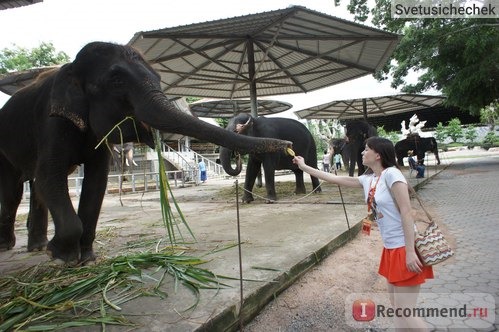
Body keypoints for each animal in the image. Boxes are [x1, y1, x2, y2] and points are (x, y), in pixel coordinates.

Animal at [0, 41, 292, 264]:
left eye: (159, 79)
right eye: (116, 80)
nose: (288, 144)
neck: (70, 66)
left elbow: (96, 182)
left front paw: (87, 259)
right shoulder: (50, 122)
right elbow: (51, 173)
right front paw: (63, 258)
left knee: (35, 188)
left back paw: (36, 247)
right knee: (16, 190)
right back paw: (13, 246)